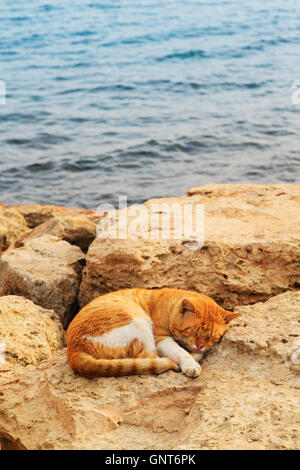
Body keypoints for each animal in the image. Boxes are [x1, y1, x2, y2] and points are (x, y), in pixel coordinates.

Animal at [66, 286, 239, 378]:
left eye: (211, 337)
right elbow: (181, 352)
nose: (200, 345)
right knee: (150, 358)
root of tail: (73, 351)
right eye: (194, 332)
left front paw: (197, 353)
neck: (169, 306)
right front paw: (191, 363)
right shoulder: (161, 339)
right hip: (139, 322)